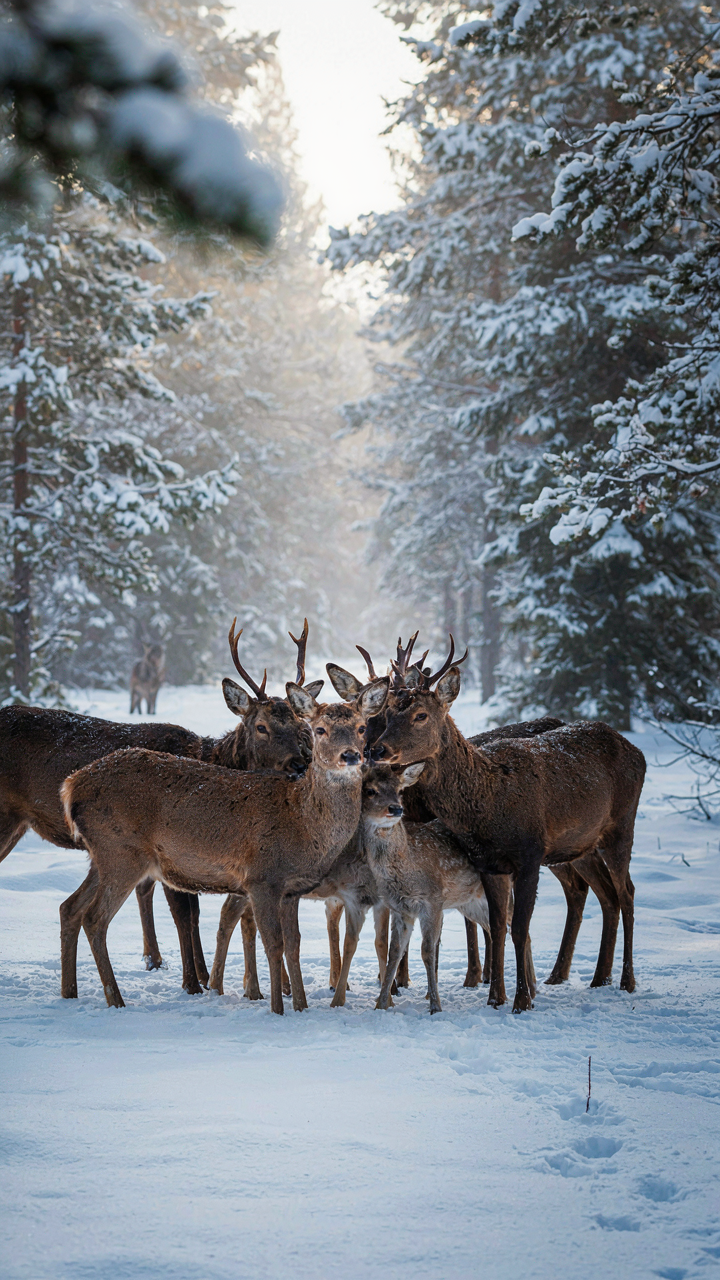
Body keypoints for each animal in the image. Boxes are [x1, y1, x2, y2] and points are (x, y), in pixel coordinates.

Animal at [0, 618, 320, 996]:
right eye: (261, 726)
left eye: (300, 725)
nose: (299, 764)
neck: (213, 757)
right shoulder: (172, 851)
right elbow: (186, 914)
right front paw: (194, 982)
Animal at [59, 677, 390, 1014]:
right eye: (319, 729)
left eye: (362, 727)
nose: (350, 756)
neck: (304, 824)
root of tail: (71, 786)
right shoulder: (262, 877)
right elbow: (274, 944)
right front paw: (277, 1008)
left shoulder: (292, 889)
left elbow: (294, 946)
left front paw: (301, 1006)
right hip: (121, 853)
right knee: (94, 918)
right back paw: (116, 999)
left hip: (103, 856)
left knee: (70, 906)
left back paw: (70, 992)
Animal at [369, 638, 646, 1012]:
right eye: (390, 713)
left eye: (420, 715)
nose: (377, 749)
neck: (488, 808)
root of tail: (637, 752)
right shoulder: (489, 864)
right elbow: (498, 926)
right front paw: (495, 997)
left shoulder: (529, 856)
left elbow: (518, 927)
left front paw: (521, 1001)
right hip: (580, 846)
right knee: (606, 895)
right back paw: (597, 978)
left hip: (621, 826)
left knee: (627, 892)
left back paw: (626, 981)